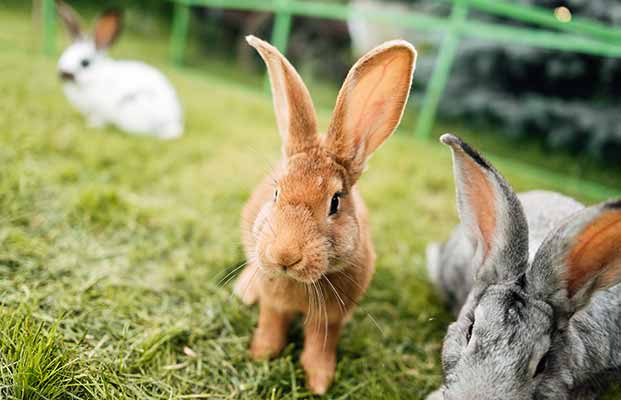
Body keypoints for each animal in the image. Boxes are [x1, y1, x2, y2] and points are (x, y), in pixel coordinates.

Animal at [54, 1, 182, 139]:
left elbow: (98, 119)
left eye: (85, 63)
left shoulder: (100, 110)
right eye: (64, 54)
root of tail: (172, 125)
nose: (63, 74)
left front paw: (92, 125)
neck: (94, 77)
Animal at [234, 35, 416, 394]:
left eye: (335, 202)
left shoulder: (330, 318)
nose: (285, 255)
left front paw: (319, 382)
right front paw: (261, 355)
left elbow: (320, 345)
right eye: (276, 193)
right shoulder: (273, 304)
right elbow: (271, 326)